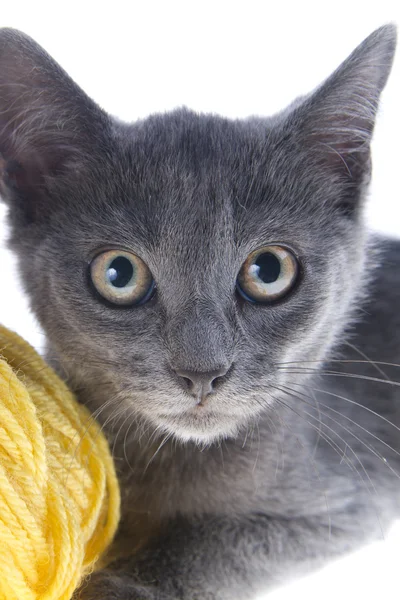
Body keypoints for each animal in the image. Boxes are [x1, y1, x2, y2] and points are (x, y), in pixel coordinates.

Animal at [0, 24, 398, 600]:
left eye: (269, 270)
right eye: (118, 274)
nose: (202, 374)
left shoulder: (347, 500)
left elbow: (213, 539)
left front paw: (120, 584)